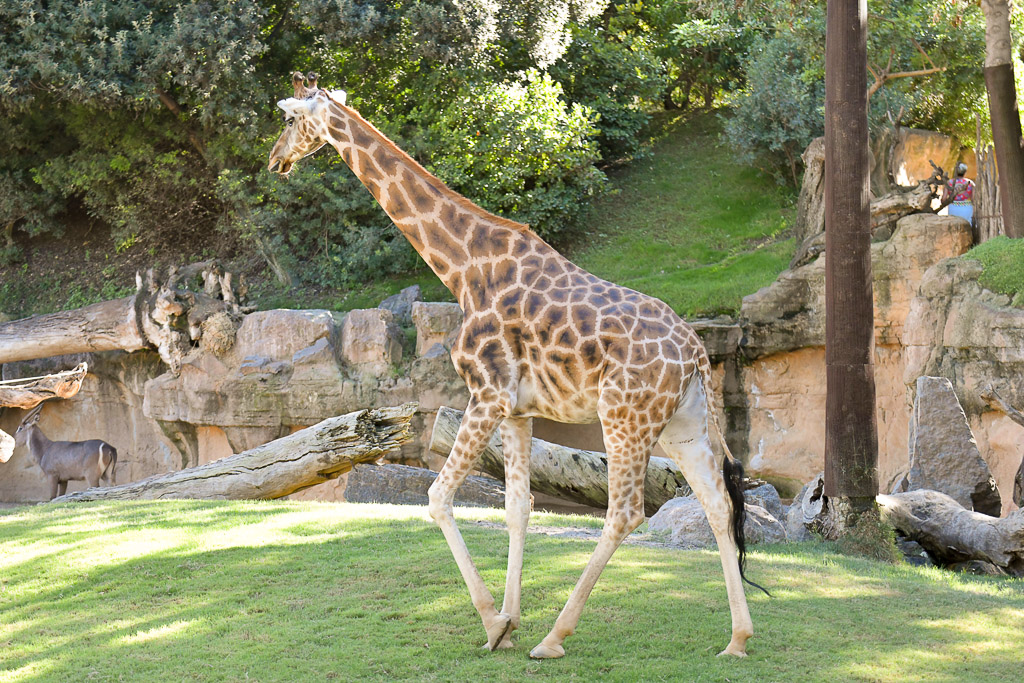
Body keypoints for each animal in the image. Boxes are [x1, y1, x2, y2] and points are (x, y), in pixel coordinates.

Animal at [268, 72, 762, 659]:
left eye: (289, 119)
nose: (274, 160)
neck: (461, 268)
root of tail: (696, 353)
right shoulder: (518, 410)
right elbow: (517, 509)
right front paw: (508, 619)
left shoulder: (487, 393)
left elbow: (438, 497)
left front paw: (493, 622)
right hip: (682, 425)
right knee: (718, 504)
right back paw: (737, 639)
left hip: (625, 417)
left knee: (625, 513)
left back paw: (554, 637)